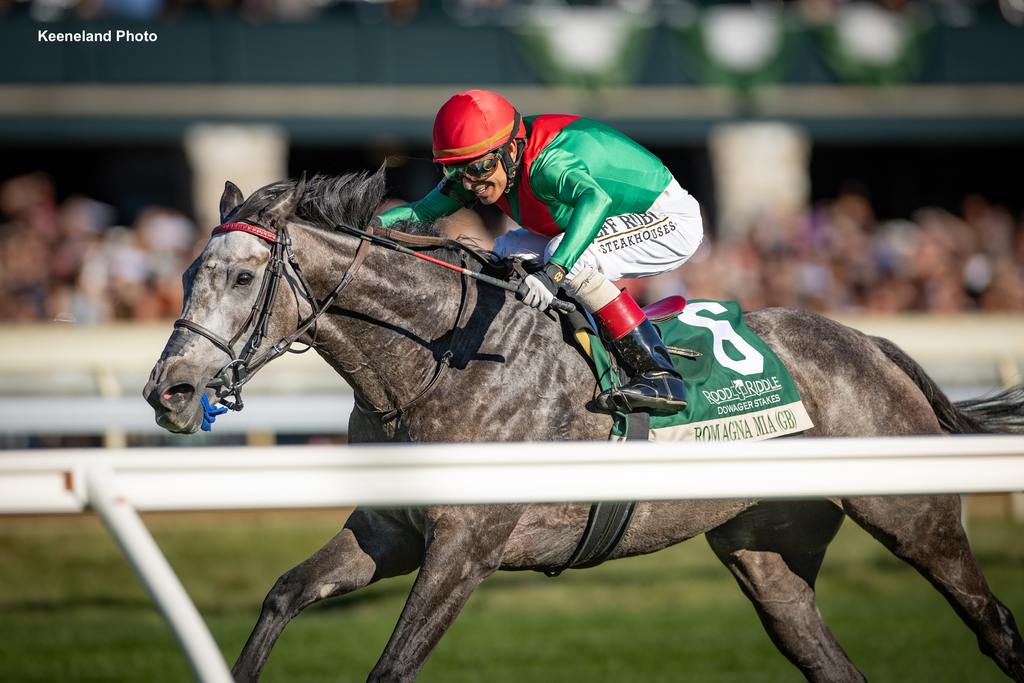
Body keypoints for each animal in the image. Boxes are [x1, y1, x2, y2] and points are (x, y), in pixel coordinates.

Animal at [144, 167, 1024, 679]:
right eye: (187, 273)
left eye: (244, 276)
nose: (168, 390)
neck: (440, 356)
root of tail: (869, 342)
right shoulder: (390, 529)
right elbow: (283, 595)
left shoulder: (467, 545)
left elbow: (390, 667)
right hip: (767, 549)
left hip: (912, 515)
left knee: (994, 621)